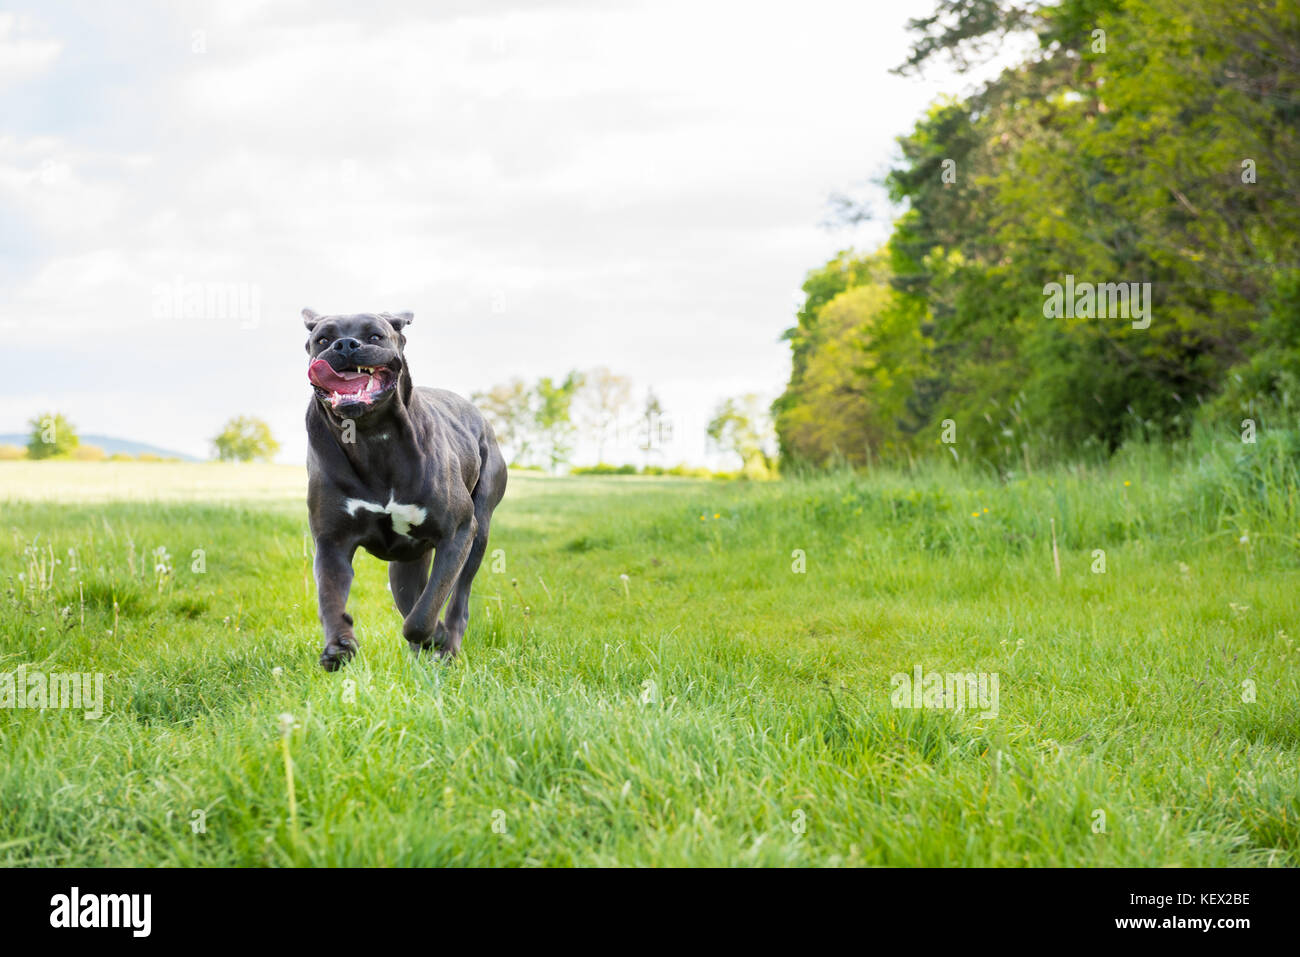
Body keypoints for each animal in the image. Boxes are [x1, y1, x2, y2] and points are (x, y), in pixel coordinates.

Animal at [302, 310, 506, 670]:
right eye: (323, 339)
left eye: (375, 336)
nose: (345, 345)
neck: (371, 437)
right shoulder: (331, 542)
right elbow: (329, 597)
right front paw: (338, 645)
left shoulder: (457, 533)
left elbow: (423, 614)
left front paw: (434, 635)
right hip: (404, 564)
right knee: (413, 594)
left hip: (478, 534)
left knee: (457, 601)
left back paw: (447, 646)